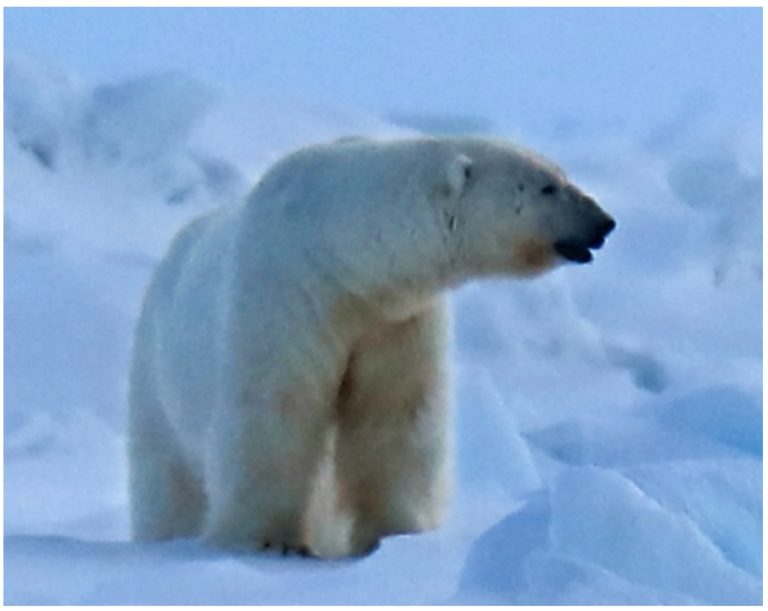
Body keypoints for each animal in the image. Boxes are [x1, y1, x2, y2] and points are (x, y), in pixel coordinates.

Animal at [128, 136, 615, 558]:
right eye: (547, 186)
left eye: (561, 174)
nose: (604, 222)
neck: (339, 255)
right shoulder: (286, 296)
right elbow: (276, 409)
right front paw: (269, 541)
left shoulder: (394, 320)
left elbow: (395, 414)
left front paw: (396, 533)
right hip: (155, 380)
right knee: (168, 481)